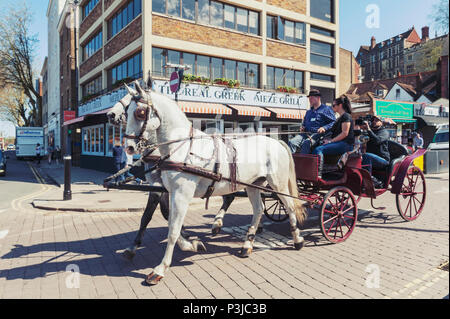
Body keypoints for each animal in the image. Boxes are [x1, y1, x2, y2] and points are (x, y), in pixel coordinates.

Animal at [107, 81, 308, 286]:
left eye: (140, 112)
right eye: (128, 110)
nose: (129, 147)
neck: (180, 148)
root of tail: (277, 142)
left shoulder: (181, 194)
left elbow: (172, 229)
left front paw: (160, 269)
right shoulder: (169, 191)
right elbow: (168, 220)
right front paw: (191, 244)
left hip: (278, 185)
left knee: (290, 207)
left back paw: (297, 239)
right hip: (252, 185)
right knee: (258, 209)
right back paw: (247, 244)